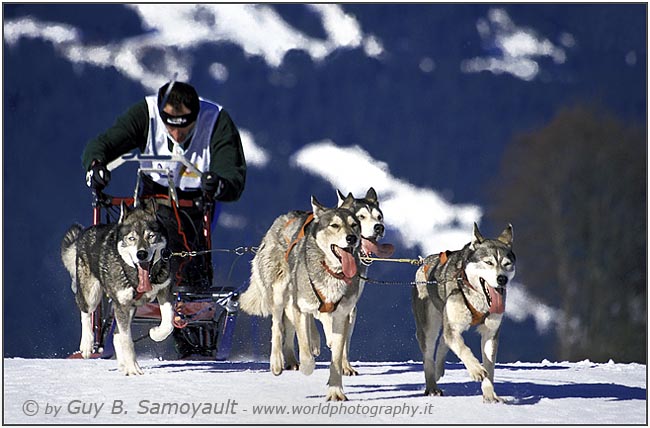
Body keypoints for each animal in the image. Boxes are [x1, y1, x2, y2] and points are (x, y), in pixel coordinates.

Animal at [60, 201, 172, 374]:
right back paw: (87, 344)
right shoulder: (122, 304)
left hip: (129, 308)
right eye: (131, 238)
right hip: (92, 295)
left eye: (151, 236)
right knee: (85, 311)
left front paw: (156, 333)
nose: (141, 254)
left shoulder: (163, 290)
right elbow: (127, 340)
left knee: (116, 334)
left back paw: (123, 364)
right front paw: (133, 369)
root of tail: (86, 232)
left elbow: (169, 323)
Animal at [240, 197, 362, 402]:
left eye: (355, 225)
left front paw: (335, 390)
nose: (351, 238)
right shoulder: (300, 308)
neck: (331, 272)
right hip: (280, 292)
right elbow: (304, 348)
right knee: (278, 327)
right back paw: (278, 362)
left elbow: (336, 357)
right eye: (335, 225)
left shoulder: (342, 315)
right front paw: (307, 367)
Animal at [412, 222, 512, 402]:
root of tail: (424, 263)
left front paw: (489, 394)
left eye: (507, 264)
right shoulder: (453, 327)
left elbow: (489, 366)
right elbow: (462, 348)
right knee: (430, 354)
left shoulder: (490, 333)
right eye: (488, 262)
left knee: (443, 341)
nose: (502, 279)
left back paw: (439, 369)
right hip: (429, 325)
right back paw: (432, 386)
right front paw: (476, 369)